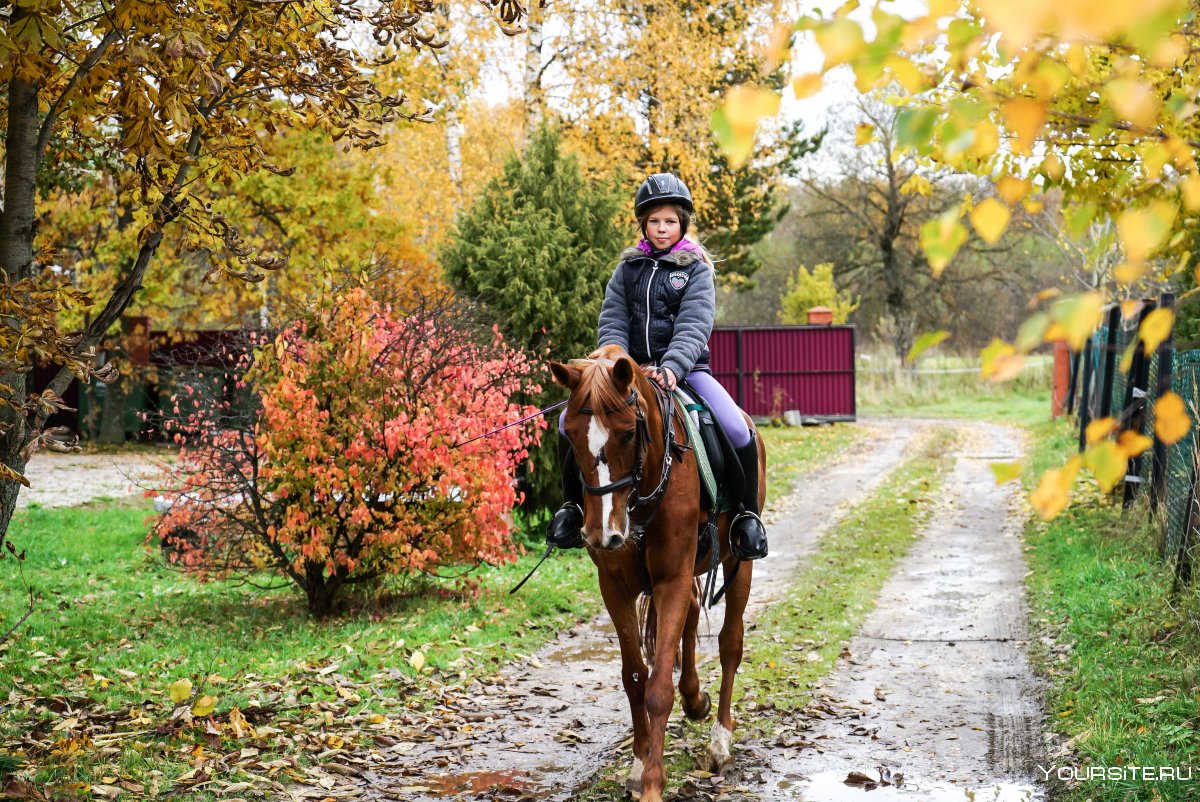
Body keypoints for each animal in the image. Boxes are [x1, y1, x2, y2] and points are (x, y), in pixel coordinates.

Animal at [549, 343, 763, 802]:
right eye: (570, 436)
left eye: (629, 433)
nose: (603, 533)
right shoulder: (615, 588)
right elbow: (635, 677)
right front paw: (637, 764)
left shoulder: (670, 581)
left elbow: (659, 686)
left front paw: (652, 782)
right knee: (693, 615)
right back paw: (695, 699)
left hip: (739, 564)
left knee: (730, 644)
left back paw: (719, 739)